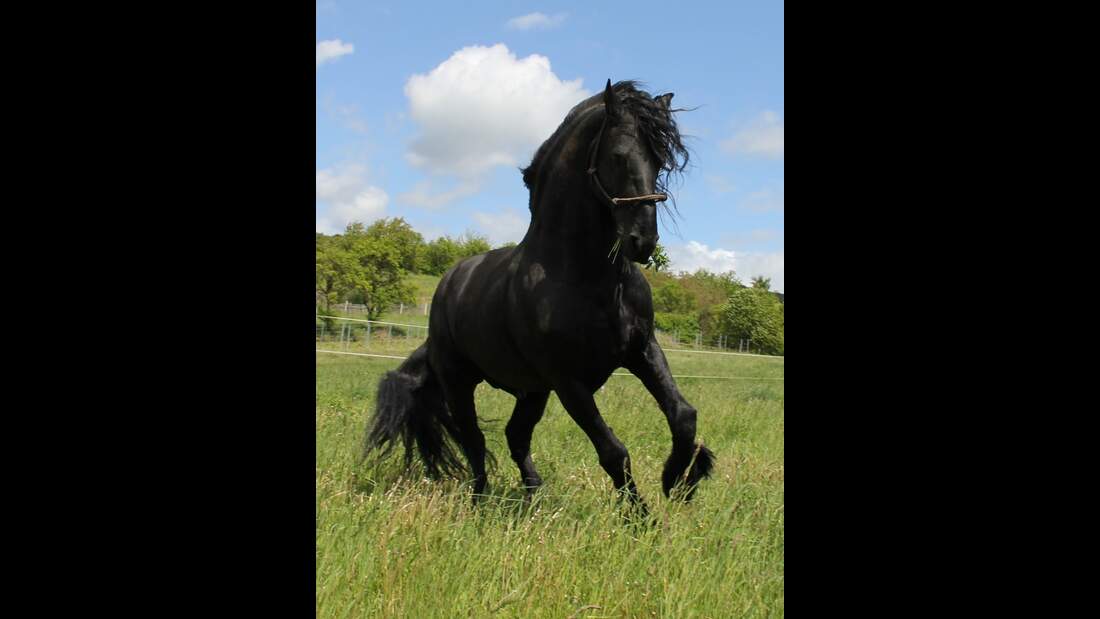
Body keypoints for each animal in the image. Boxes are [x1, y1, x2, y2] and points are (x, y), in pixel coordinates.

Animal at [364, 80, 714, 511]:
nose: (642, 241)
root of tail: (449, 284)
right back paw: (480, 503)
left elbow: (683, 415)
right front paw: (641, 516)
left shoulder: (641, 351)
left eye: (661, 160)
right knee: (473, 440)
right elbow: (613, 451)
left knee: (515, 437)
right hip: (459, 382)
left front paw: (680, 479)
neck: (588, 277)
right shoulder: (568, 380)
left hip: (531, 391)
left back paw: (534, 501)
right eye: (618, 156)